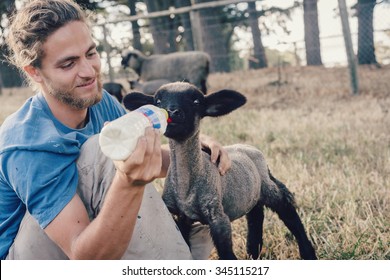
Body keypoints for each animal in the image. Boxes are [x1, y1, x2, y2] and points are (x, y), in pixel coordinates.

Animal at [122, 82, 316, 262]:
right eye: (158, 101)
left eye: (196, 101)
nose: (172, 112)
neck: (187, 188)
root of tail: (249, 148)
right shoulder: (180, 217)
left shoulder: (218, 218)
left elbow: (227, 254)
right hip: (250, 192)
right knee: (255, 215)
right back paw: (253, 251)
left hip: (268, 187)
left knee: (288, 211)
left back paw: (308, 253)